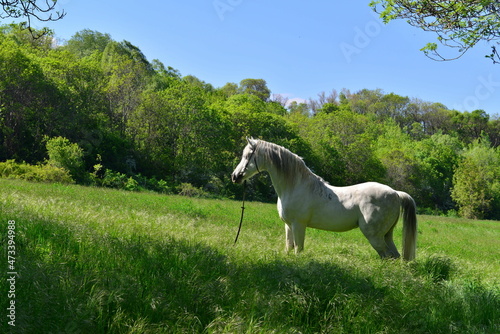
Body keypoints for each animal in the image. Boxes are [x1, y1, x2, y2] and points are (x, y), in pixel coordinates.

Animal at [231, 138, 418, 260]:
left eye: (247, 155)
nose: (235, 176)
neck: (295, 186)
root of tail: (395, 193)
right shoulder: (288, 225)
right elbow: (289, 247)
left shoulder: (299, 225)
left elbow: (298, 249)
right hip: (387, 235)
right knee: (395, 256)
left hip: (374, 236)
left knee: (387, 256)